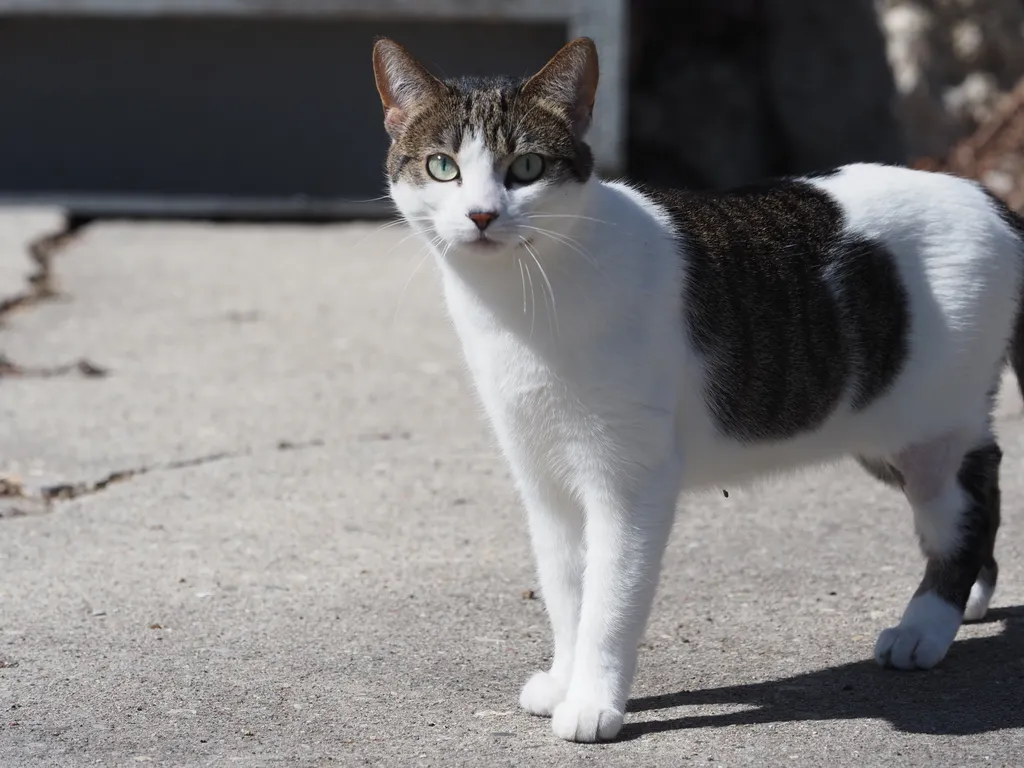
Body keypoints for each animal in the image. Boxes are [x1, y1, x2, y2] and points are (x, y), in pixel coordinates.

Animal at [370, 37, 1024, 745]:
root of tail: (988, 195)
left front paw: (593, 701)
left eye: (527, 167)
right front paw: (565, 678)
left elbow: (608, 601)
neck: (522, 300)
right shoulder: (542, 478)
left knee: (971, 496)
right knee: (979, 482)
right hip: (876, 424)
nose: (483, 214)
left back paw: (925, 626)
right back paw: (970, 600)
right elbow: (567, 590)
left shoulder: (630, 480)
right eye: (442, 167)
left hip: (928, 428)